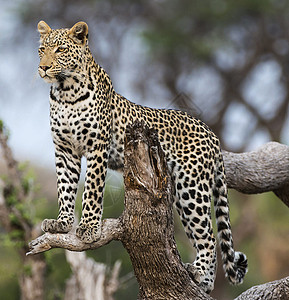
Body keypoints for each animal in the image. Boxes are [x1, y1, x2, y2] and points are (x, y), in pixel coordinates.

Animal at [36, 19, 248, 292]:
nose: (43, 68)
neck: (65, 92)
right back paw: (202, 281)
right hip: (179, 193)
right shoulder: (65, 150)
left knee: (209, 237)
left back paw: (201, 276)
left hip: (192, 187)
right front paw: (62, 223)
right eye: (42, 50)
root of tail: (211, 132)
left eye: (61, 50)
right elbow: (65, 188)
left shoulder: (97, 147)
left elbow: (92, 189)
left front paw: (89, 228)